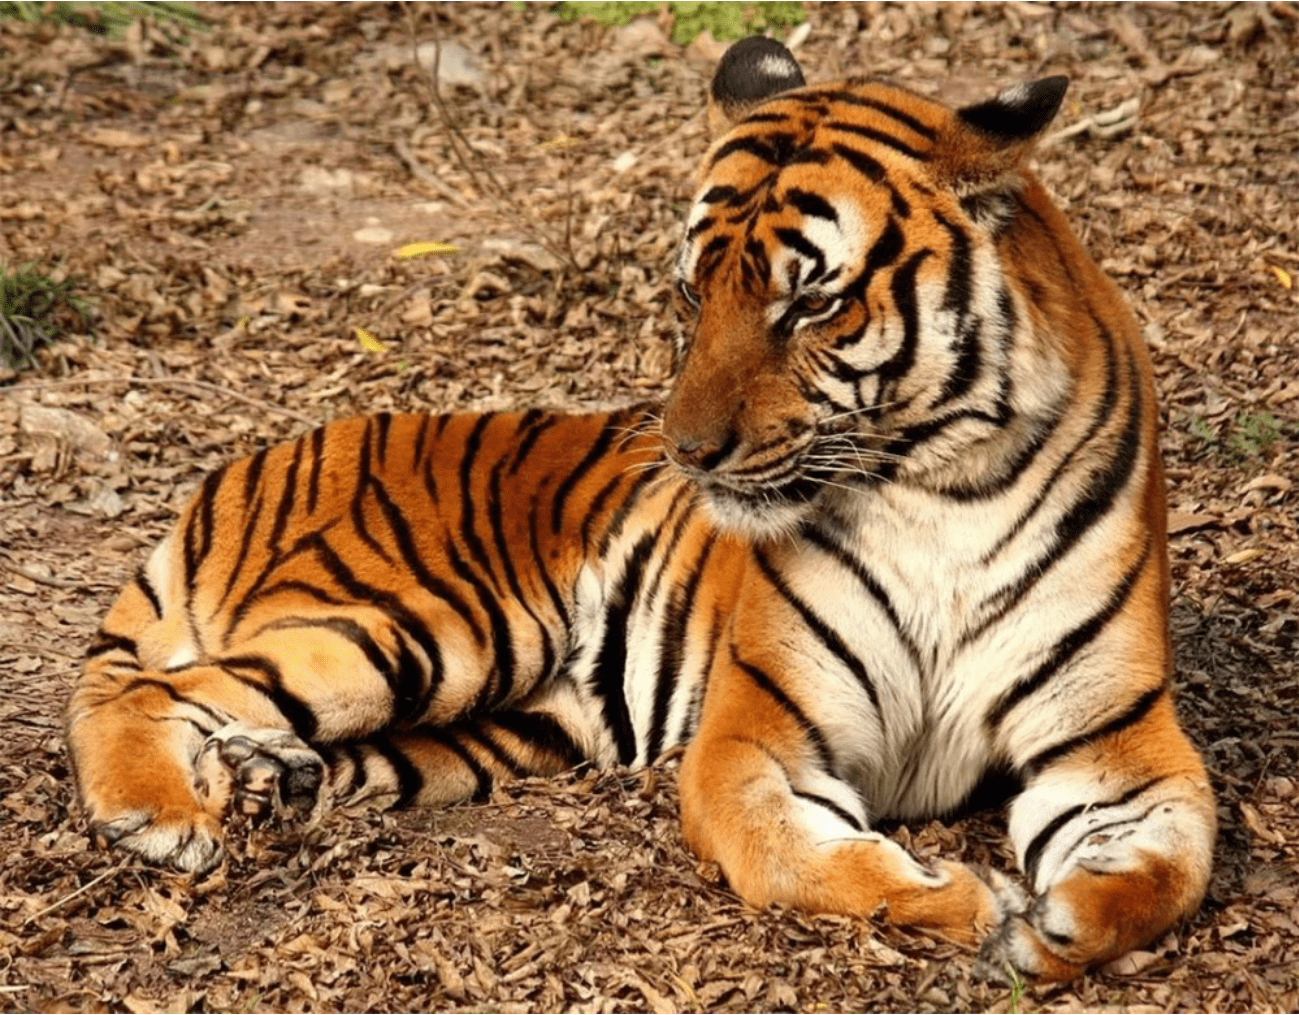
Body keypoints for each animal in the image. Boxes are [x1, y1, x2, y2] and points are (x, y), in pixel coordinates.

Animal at [65, 35, 1210, 977]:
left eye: (810, 301)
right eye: (693, 292)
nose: (689, 453)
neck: (939, 485)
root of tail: (250, 462)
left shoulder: (1115, 745)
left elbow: (1172, 867)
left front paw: (1059, 924)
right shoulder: (756, 734)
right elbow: (797, 855)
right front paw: (968, 903)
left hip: (507, 723)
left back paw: (272, 780)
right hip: (427, 624)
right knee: (151, 689)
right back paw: (157, 815)